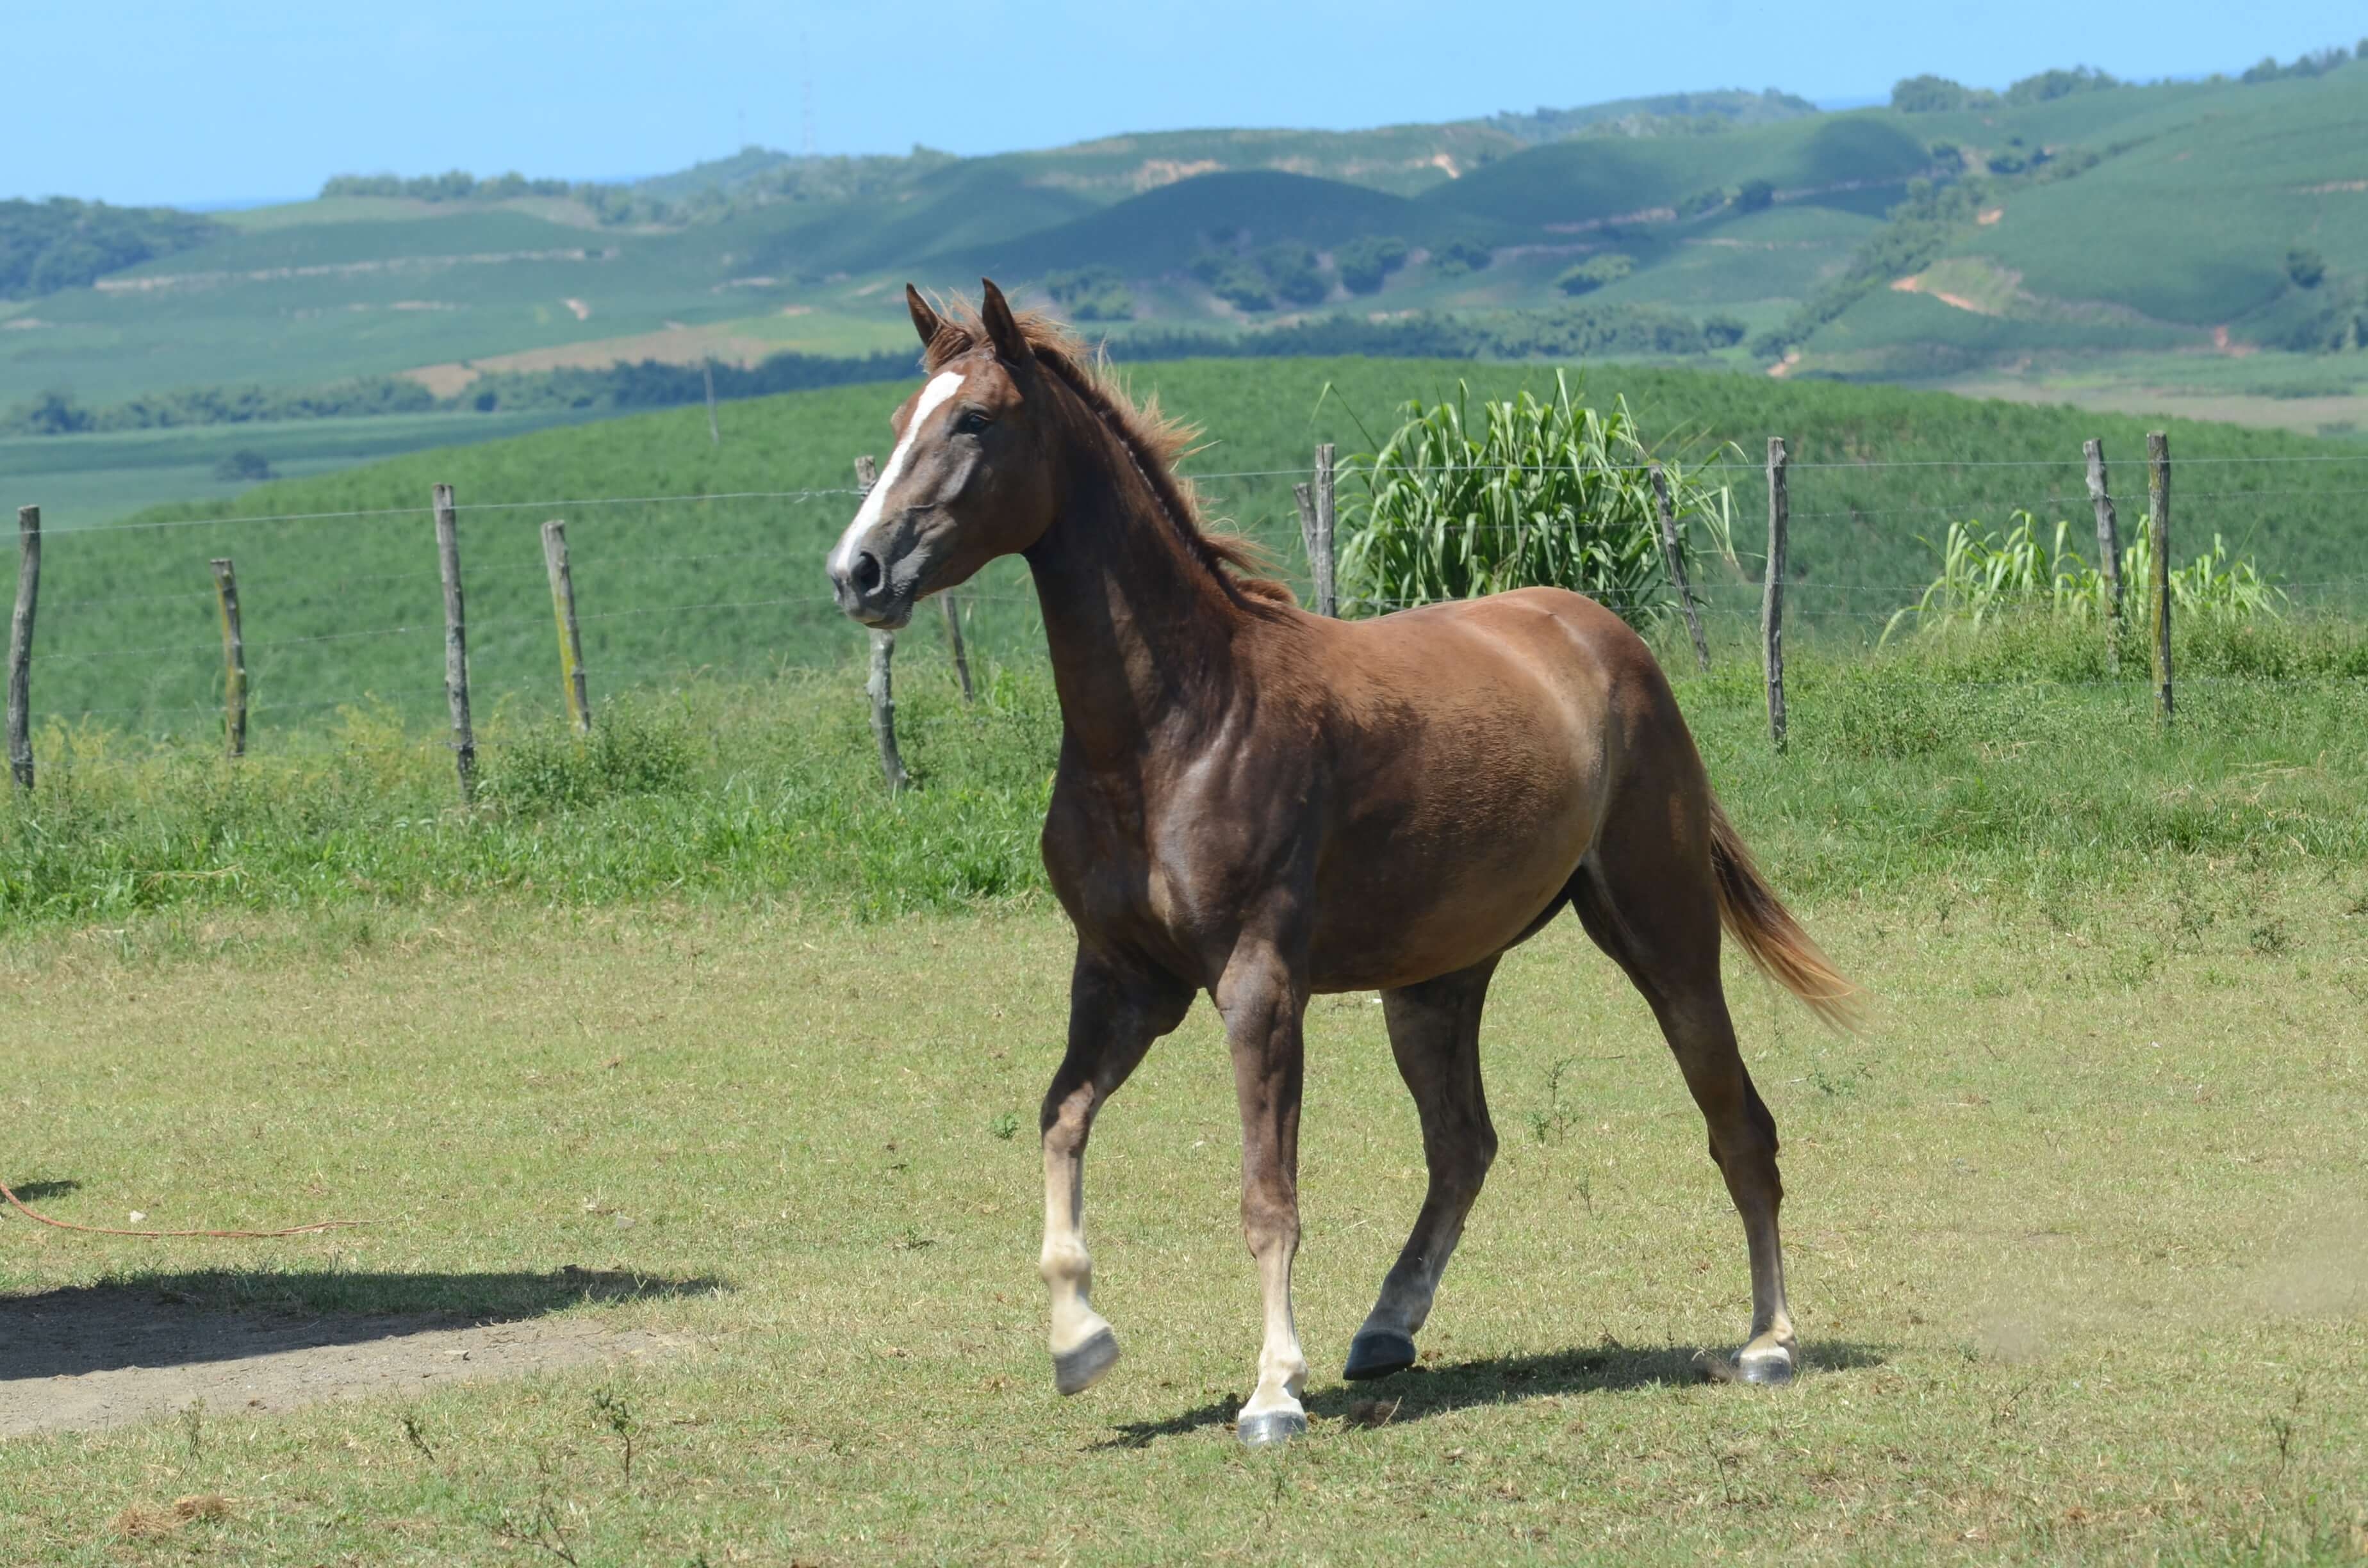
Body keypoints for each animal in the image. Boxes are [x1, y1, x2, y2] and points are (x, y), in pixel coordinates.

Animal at [828, 282, 1846, 1450]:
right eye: (902, 416)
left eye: (976, 420)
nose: (857, 572)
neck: (1176, 725)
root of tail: (1605, 638)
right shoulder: (1122, 980)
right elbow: (1060, 1121)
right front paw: (1079, 1339)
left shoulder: (1258, 986)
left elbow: (1266, 1193)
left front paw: (1273, 1391)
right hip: (1436, 981)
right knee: (1464, 1144)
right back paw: (1386, 1328)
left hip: (1662, 931)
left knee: (1740, 1127)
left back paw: (1768, 1342)